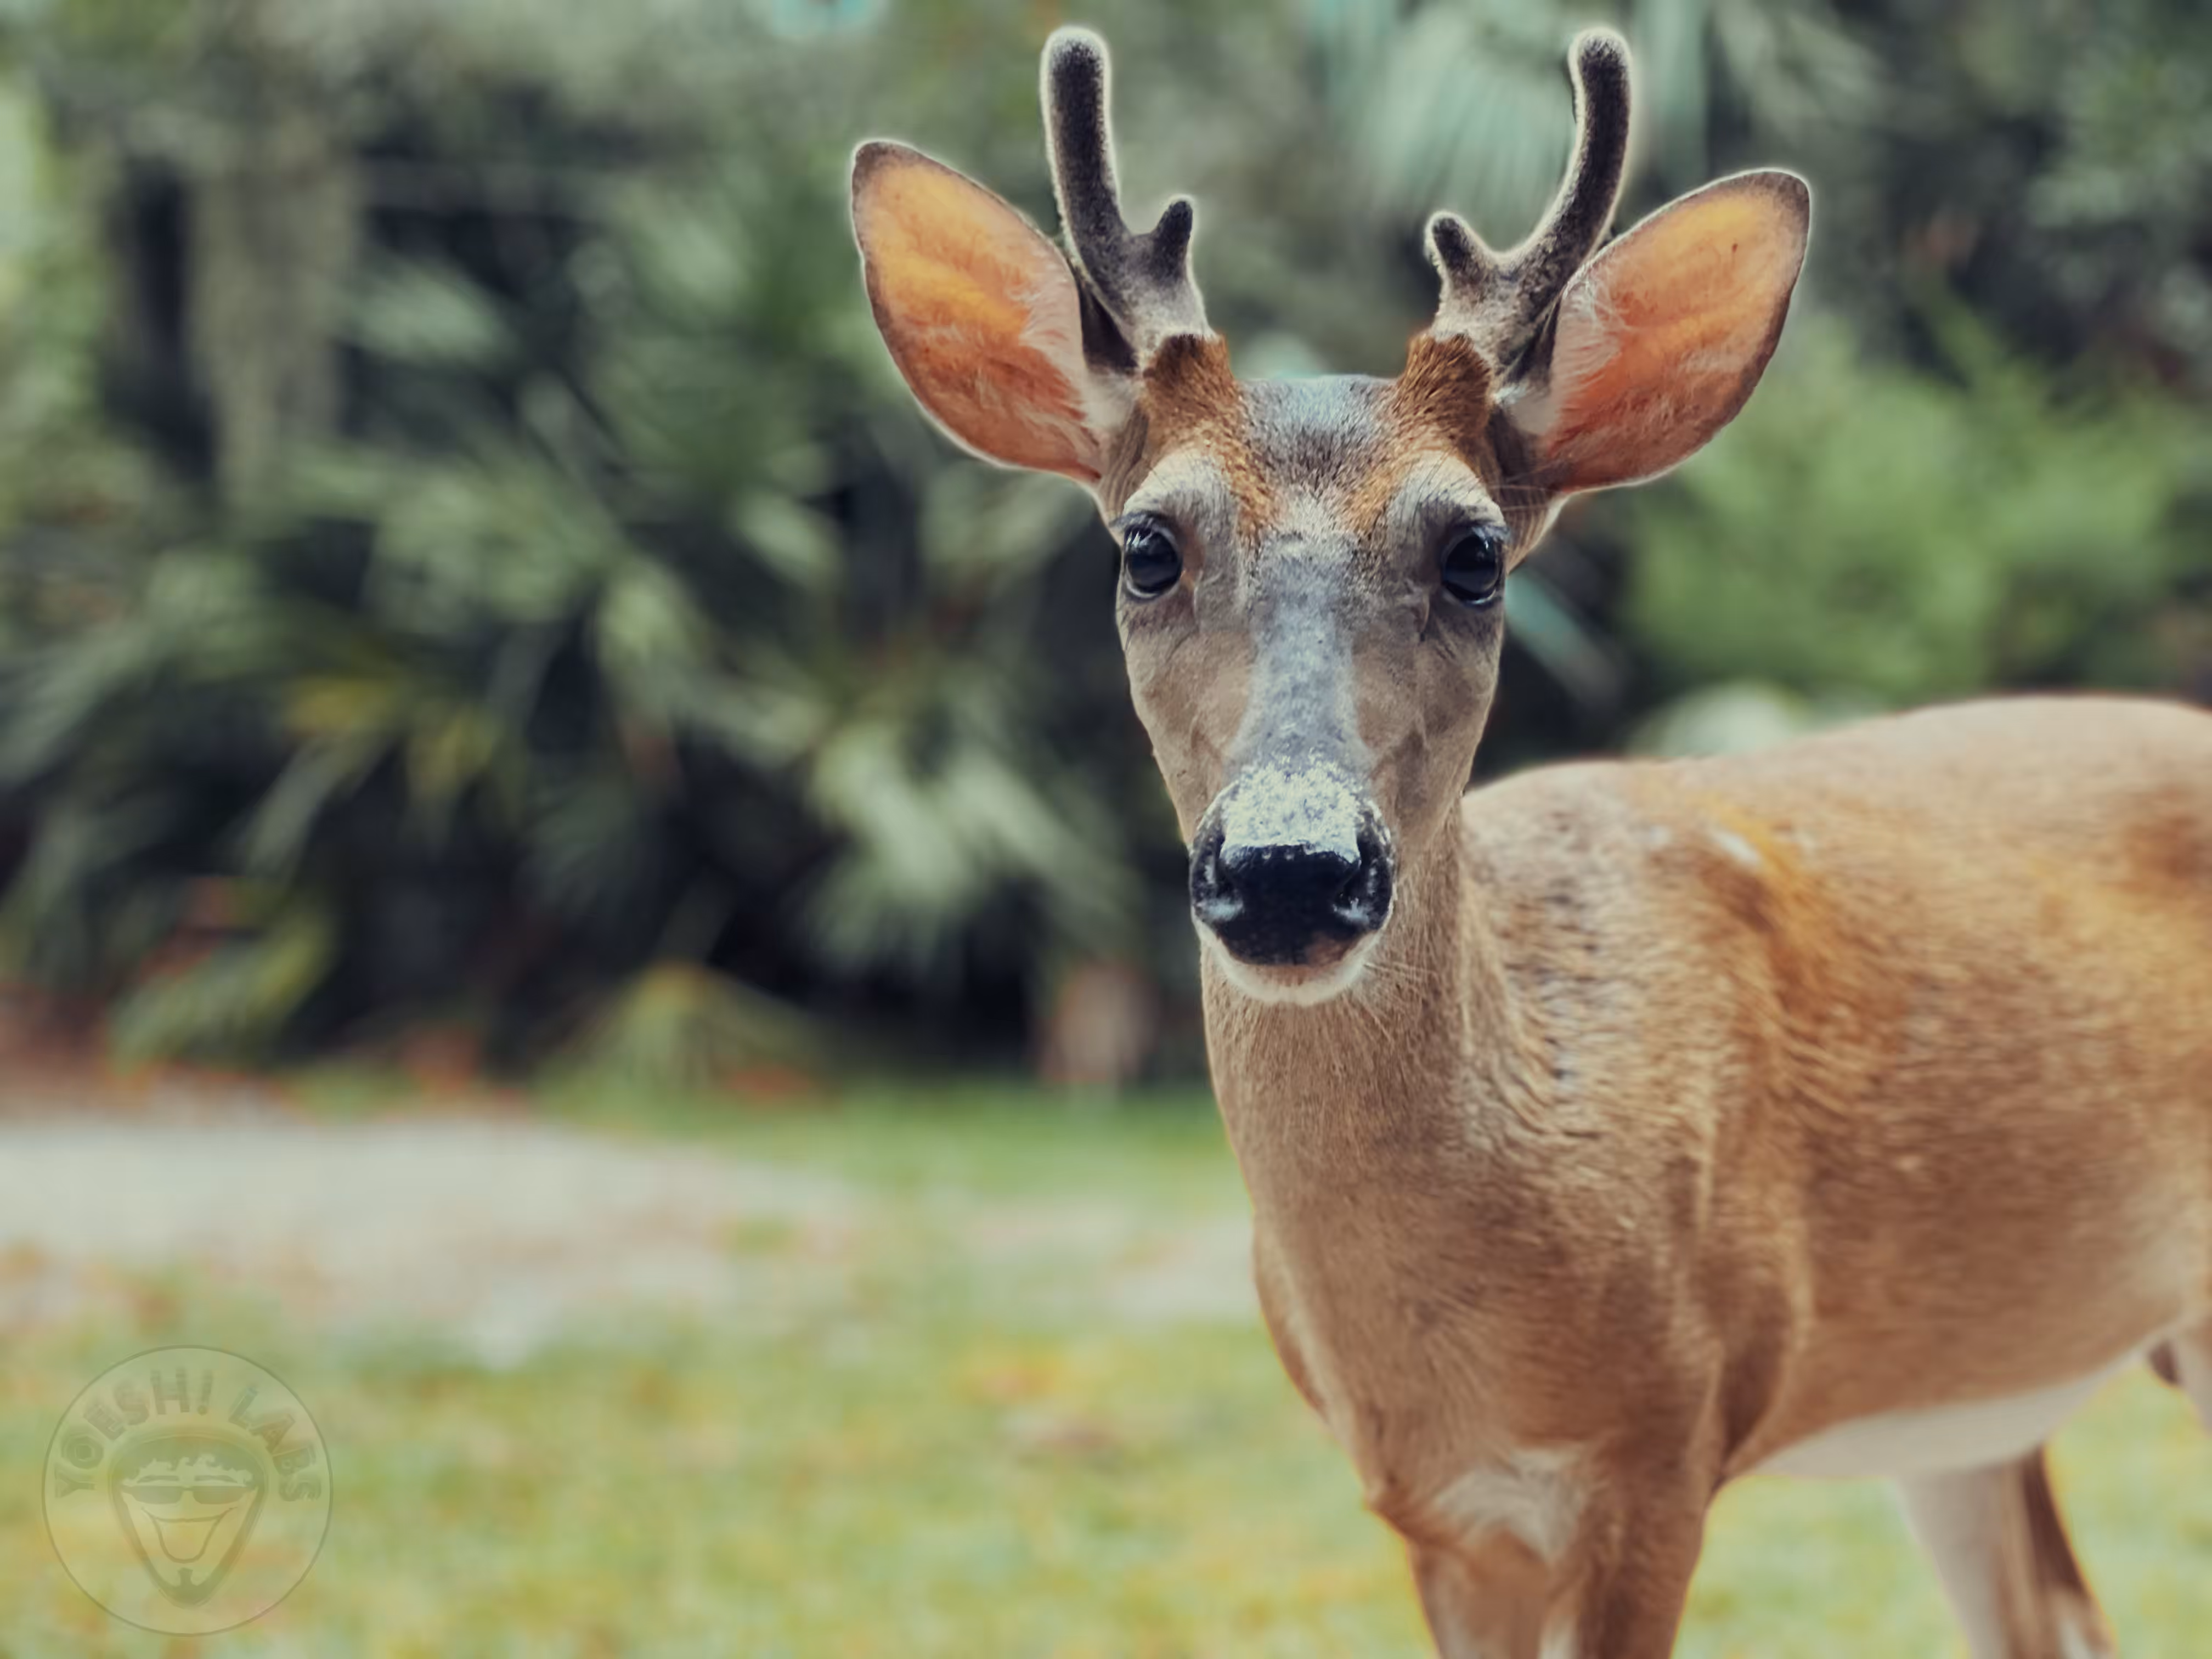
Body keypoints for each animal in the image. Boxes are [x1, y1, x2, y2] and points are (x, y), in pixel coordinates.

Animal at [849, 24, 2212, 1658]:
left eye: (1475, 552)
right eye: (1148, 548)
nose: (1292, 868)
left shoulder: (1664, 1439)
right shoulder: (1438, 1512)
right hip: (1966, 1404)